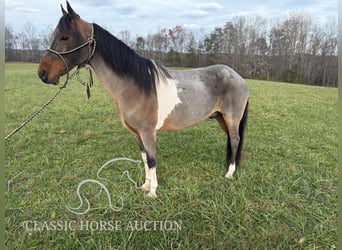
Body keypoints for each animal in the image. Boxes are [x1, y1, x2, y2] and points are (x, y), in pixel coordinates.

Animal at [37, 1, 248, 197]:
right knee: (231, 140)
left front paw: (153, 192)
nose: (42, 73)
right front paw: (145, 186)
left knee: (235, 140)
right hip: (220, 117)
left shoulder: (148, 132)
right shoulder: (138, 134)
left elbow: (152, 160)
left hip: (231, 118)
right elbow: (145, 158)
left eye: (65, 37)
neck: (134, 86)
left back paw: (229, 174)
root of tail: (238, 77)